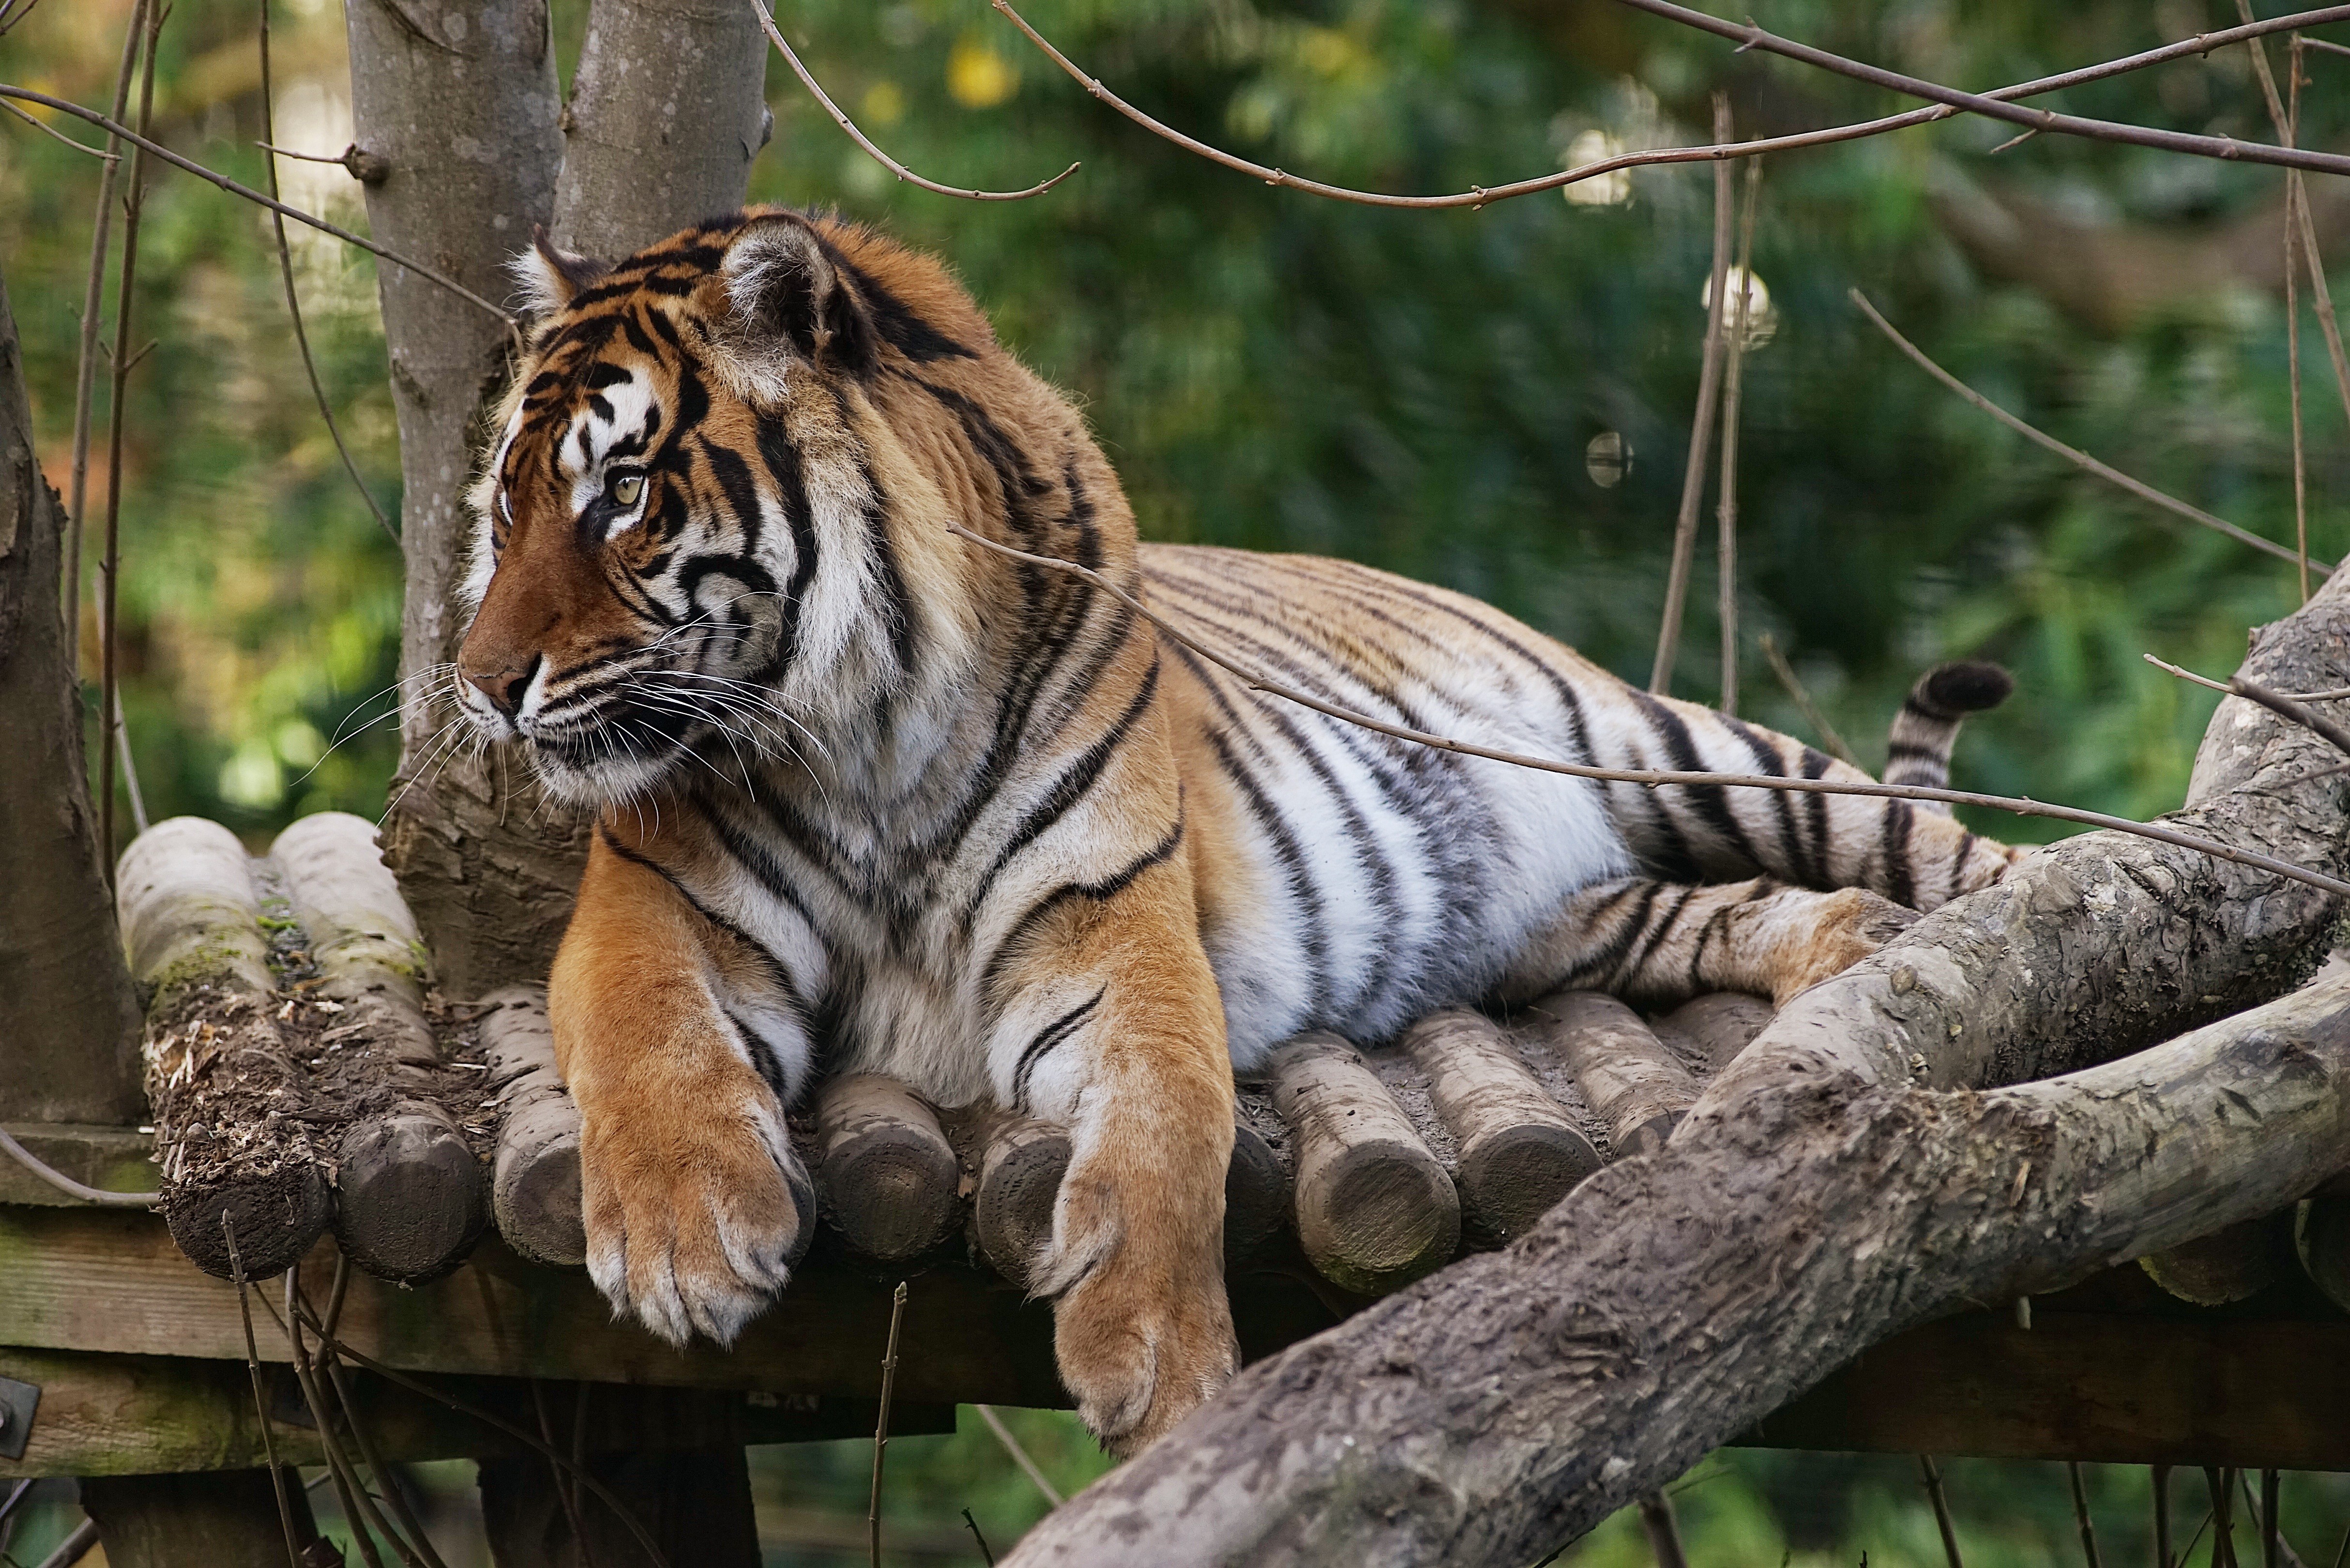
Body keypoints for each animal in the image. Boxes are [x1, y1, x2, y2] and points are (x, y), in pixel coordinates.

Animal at [452, 205, 2020, 1454]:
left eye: (623, 492)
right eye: (506, 505)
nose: (480, 683)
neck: (864, 731)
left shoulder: (1113, 923)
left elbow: (1167, 1121)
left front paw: (1157, 1370)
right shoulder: (653, 900)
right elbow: (649, 1037)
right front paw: (686, 1244)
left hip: (1690, 755)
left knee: (1974, 861)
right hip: (1587, 917)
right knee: (1754, 909)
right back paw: (1852, 959)